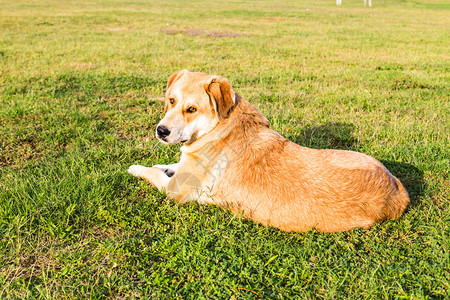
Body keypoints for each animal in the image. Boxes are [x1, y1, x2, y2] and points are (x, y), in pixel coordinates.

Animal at [128, 69, 410, 232]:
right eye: (171, 100)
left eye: (192, 109)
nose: (161, 131)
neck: (220, 125)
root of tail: (398, 193)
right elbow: (169, 166)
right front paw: (162, 164)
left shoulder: (175, 191)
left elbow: (153, 173)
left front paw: (137, 168)